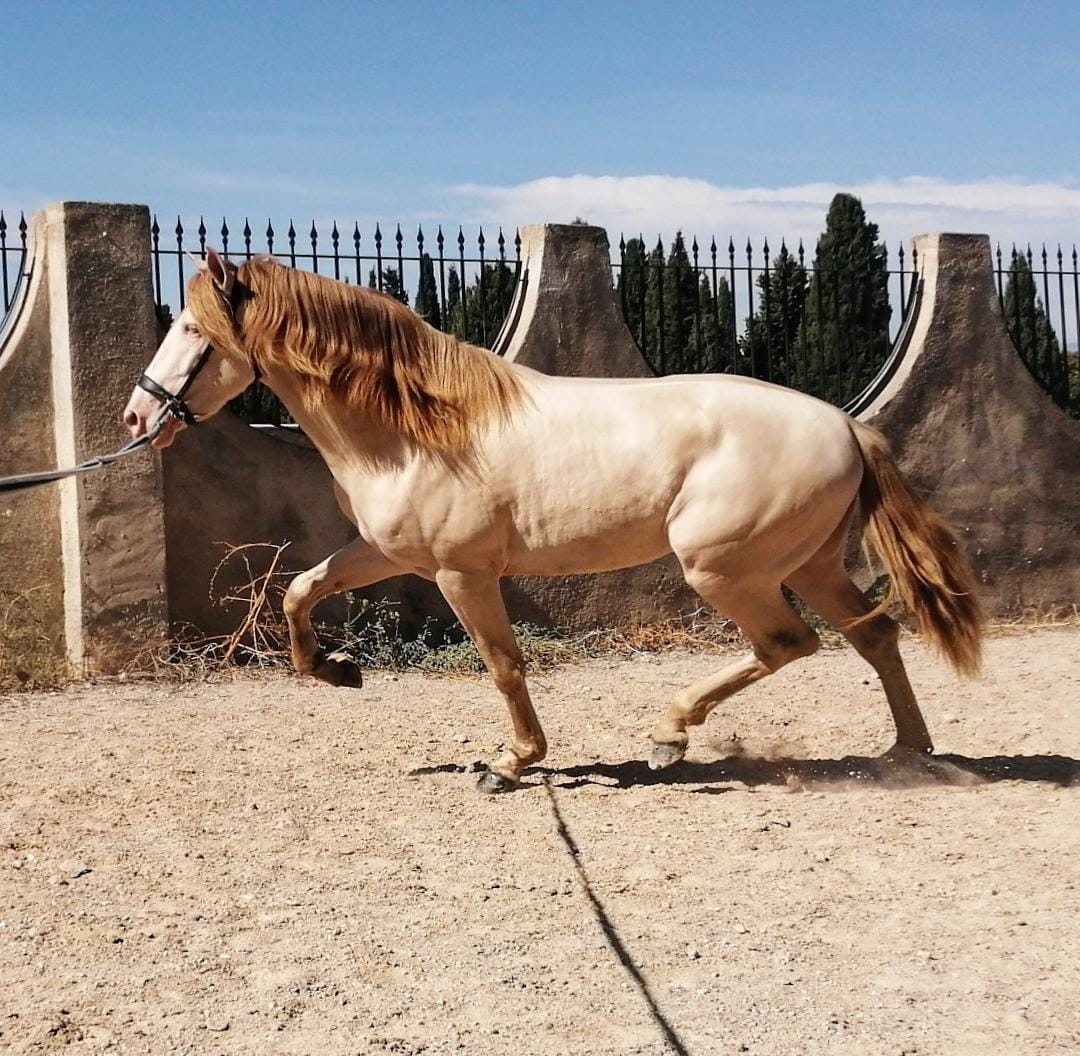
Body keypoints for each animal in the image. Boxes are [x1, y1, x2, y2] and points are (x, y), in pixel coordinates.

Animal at [124, 248, 984, 793]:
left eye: (193, 331)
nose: (137, 416)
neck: (417, 428)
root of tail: (845, 424)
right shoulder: (385, 552)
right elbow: (299, 591)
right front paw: (337, 671)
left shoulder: (462, 573)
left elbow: (504, 666)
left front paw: (510, 764)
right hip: (806, 563)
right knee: (875, 637)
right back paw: (908, 753)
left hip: (726, 570)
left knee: (788, 643)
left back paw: (669, 736)